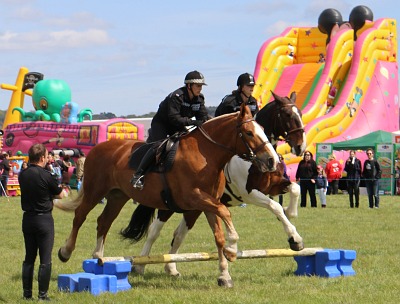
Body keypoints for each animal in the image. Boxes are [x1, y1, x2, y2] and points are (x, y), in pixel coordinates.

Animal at [56, 104, 280, 284]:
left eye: (263, 130)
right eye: (249, 133)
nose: (272, 160)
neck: (206, 155)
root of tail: (97, 148)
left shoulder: (209, 203)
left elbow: (219, 235)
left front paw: (224, 275)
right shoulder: (194, 198)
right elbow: (226, 213)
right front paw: (233, 249)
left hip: (117, 195)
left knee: (104, 221)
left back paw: (98, 258)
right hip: (95, 190)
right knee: (80, 216)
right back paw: (66, 251)